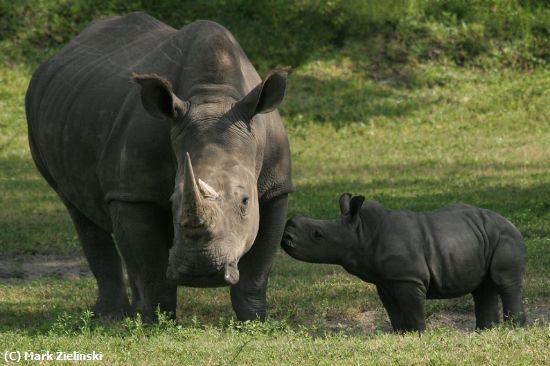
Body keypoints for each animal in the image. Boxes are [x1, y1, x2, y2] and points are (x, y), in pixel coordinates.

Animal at [27, 11, 294, 320]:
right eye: (172, 200)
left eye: (245, 201)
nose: (202, 273)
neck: (213, 98)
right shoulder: (133, 192)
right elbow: (150, 266)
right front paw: (157, 322)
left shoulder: (276, 187)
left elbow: (258, 268)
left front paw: (255, 321)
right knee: (79, 211)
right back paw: (112, 317)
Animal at [282, 194, 528, 332]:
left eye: (317, 235)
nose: (286, 238)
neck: (362, 232)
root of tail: (511, 222)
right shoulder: (386, 280)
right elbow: (393, 309)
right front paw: (401, 334)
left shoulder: (409, 278)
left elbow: (412, 308)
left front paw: (418, 333)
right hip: (483, 237)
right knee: (483, 287)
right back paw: (486, 331)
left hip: (506, 236)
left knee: (505, 280)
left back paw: (515, 329)